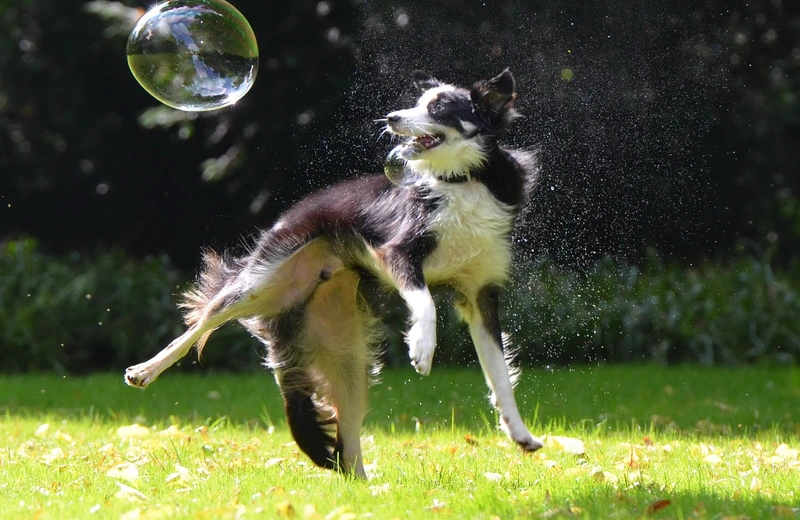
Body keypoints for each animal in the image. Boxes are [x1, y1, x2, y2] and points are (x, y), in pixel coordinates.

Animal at [125, 70, 548, 480]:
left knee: (347, 446)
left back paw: (366, 488)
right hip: (260, 280)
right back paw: (145, 370)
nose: (391, 118)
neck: (464, 180)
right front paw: (422, 348)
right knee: (201, 323)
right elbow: (426, 302)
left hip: (349, 355)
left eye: (439, 107)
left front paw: (520, 434)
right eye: (418, 103)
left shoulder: (481, 295)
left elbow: (500, 375)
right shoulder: (397, 253)